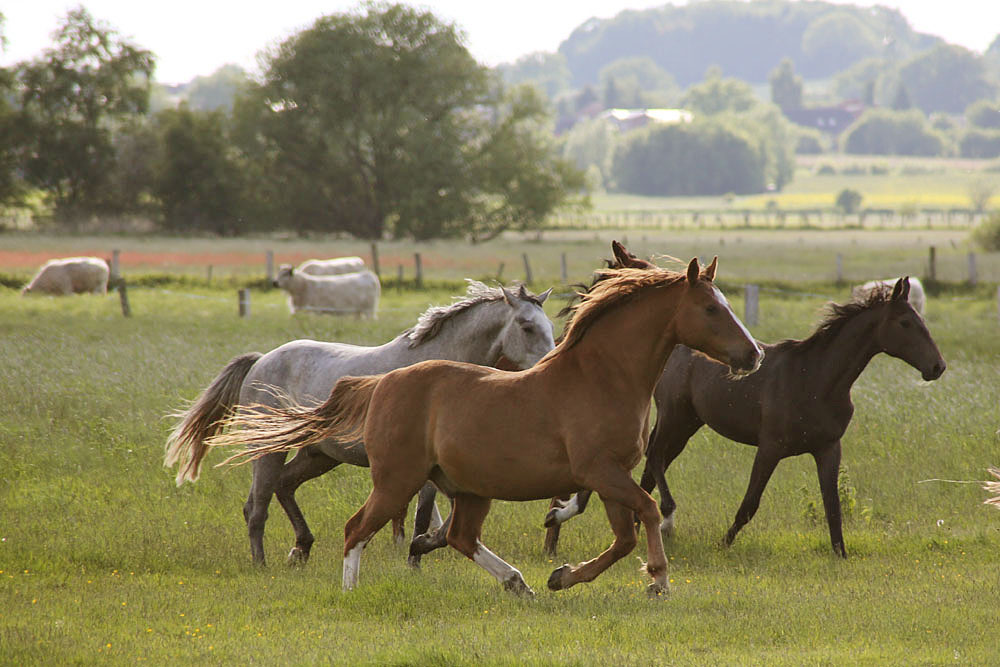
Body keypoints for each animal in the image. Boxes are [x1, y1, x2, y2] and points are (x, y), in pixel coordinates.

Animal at [164, 280, 556, 568]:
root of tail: (261, 361)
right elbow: (424, 516)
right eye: (526, 326)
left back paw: (301, 550)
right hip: (267, 450)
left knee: (284, 486)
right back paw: (262, 565)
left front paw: (418, 551)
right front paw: (415, 556)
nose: (549, 365)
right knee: (256, 507)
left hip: (319, 455)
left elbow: (431, 517)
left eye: (551, 326)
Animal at [209, 260, 756, 596]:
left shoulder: (607, 477)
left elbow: (623, 535)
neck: (600, 378)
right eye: (711, 308)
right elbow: (645, 512)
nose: (753, 355)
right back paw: (344, 587)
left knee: (459, 536)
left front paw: (562, 576)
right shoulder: (601, 472)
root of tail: (378, 383)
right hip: (394, 478)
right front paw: (658, 581)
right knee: (345, 525)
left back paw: (520, 583)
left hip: (456, 485)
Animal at [548, 276, 944, 560]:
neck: (817, 379)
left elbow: (832, 505)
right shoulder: (770, 447)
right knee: (655, 457)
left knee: (651, 466)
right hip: (676, 416)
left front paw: (840, 554)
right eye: (905, 322)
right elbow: (750, 504)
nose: (937, 367)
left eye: (921, 319)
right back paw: (664, 516)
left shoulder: (829, 448)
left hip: (689, 424)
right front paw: (723, 544)